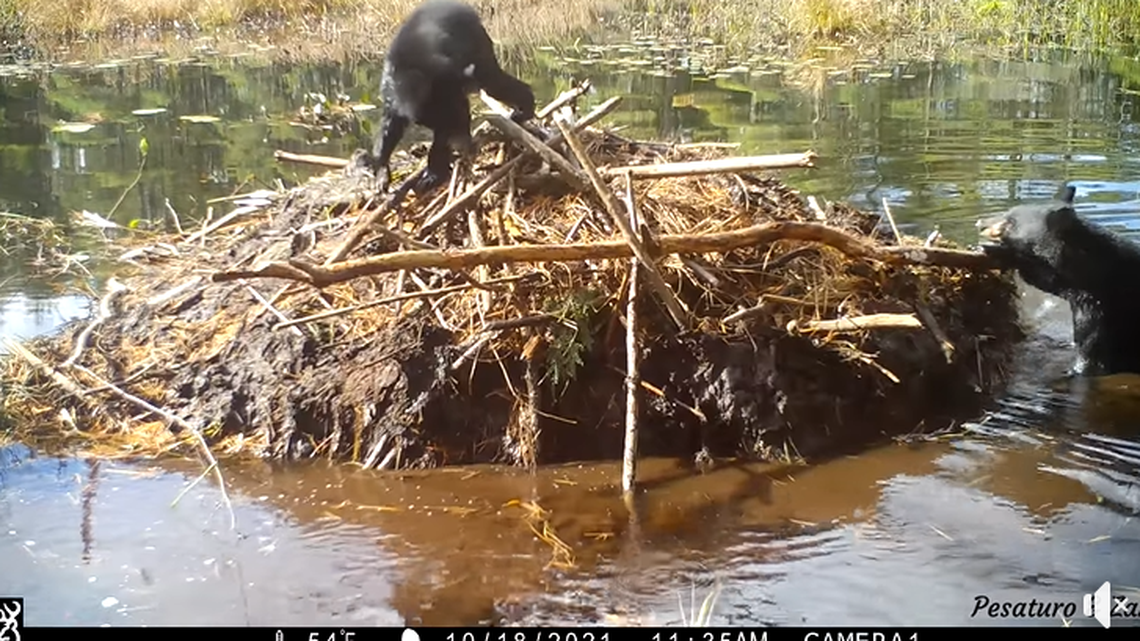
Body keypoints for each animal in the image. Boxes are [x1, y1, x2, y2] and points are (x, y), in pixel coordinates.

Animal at [366, 0, 536, 195]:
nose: (463, 143)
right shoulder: (392, 96)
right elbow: (390, 127)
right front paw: (382, 172)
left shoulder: (446, 81)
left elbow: (451, 115)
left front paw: (435, 171)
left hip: (478, 42)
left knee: (491, 80)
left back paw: (524, 109)